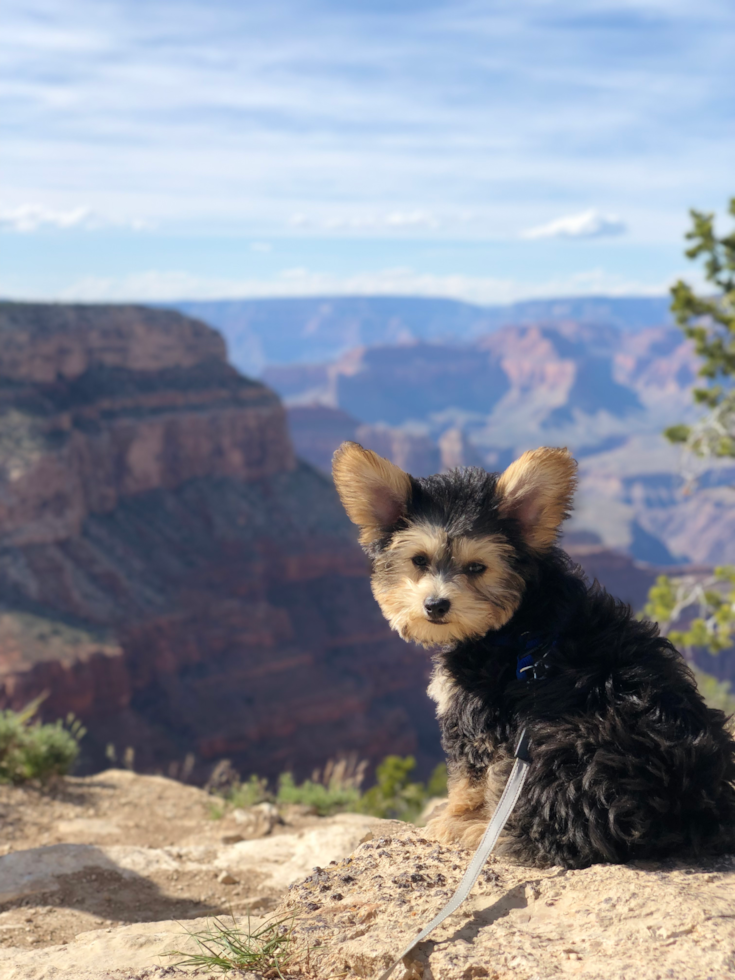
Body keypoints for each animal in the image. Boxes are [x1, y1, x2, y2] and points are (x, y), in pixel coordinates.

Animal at [332, 440, 735, 868]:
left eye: (477, 567)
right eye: (419, 560)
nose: (436, 605)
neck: (516, 619)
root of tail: (687, 813)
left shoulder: (477, 712)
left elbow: (468, 777)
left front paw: (455, 817)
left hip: (558, 750)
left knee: (551, 836)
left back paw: (482, 832)